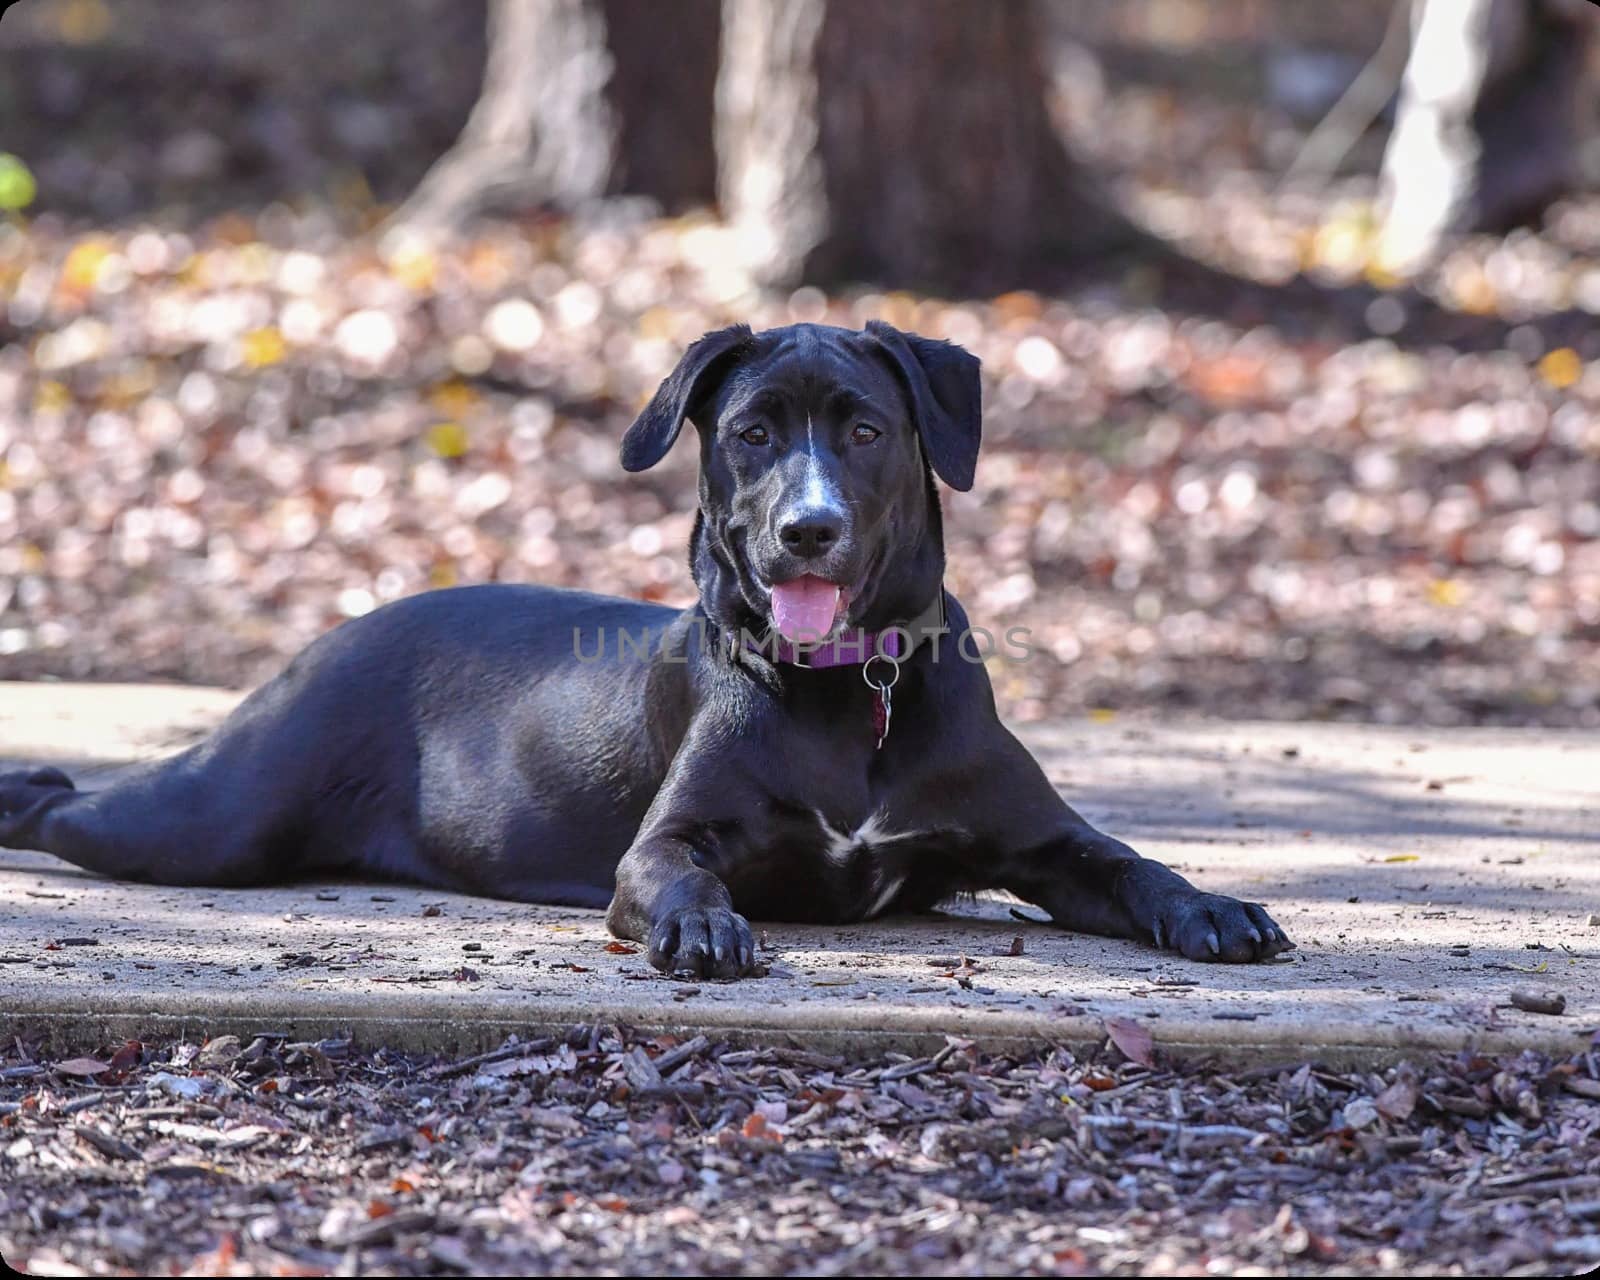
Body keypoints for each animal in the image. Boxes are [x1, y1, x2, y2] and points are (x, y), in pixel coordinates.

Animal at [0, 324, 1286, 972]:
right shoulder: (667, 837)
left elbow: (1133, 864)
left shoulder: (1043, 840)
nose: (806, 528)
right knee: (72, 805)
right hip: (213, 817)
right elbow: (676, 870)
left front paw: (1216, 909)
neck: (854, 688)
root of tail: (338, 629)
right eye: (751, 432)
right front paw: (703, 925)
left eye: (866, 430)